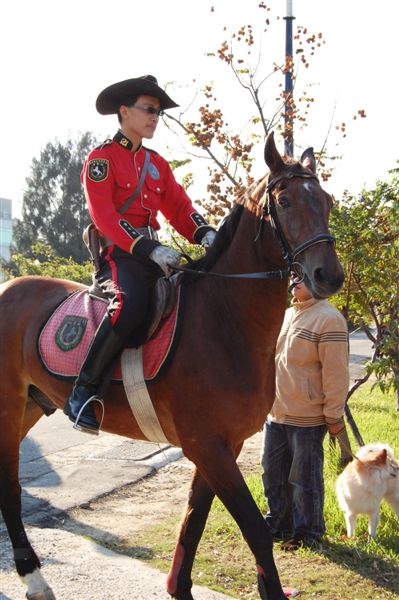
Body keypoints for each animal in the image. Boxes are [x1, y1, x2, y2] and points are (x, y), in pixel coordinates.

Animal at [0, 132, 344, 600]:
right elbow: (254, 528)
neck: (224, 319)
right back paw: (33, 576)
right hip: (6, 407)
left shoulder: (221, 445)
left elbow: (193, 520)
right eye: (286, 201)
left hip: (30, 406)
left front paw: (178, 586)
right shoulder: (207, 445)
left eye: (327, 200)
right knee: (8, 486)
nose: (329, 276)